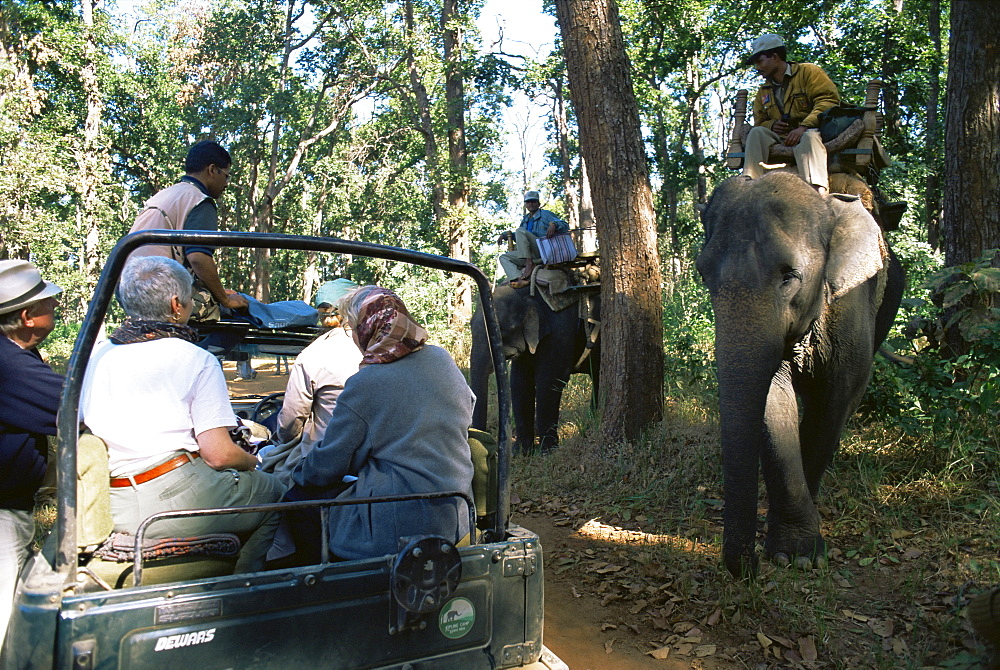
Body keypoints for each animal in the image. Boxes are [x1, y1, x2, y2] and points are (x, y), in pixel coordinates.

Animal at [470, 284, 600, 456]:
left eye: (501, 331)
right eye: (470, 325)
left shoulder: (560, 330)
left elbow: (549, 380)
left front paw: (548, 452)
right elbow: (519, 382)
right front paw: (521, 452)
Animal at [696, 175, 908, 584]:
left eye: (789, 276)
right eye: (703, 273)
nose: (751, 569)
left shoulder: (851, 307)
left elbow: (835, 399)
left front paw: (799, 555)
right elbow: (774, 400)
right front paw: (791, 554)